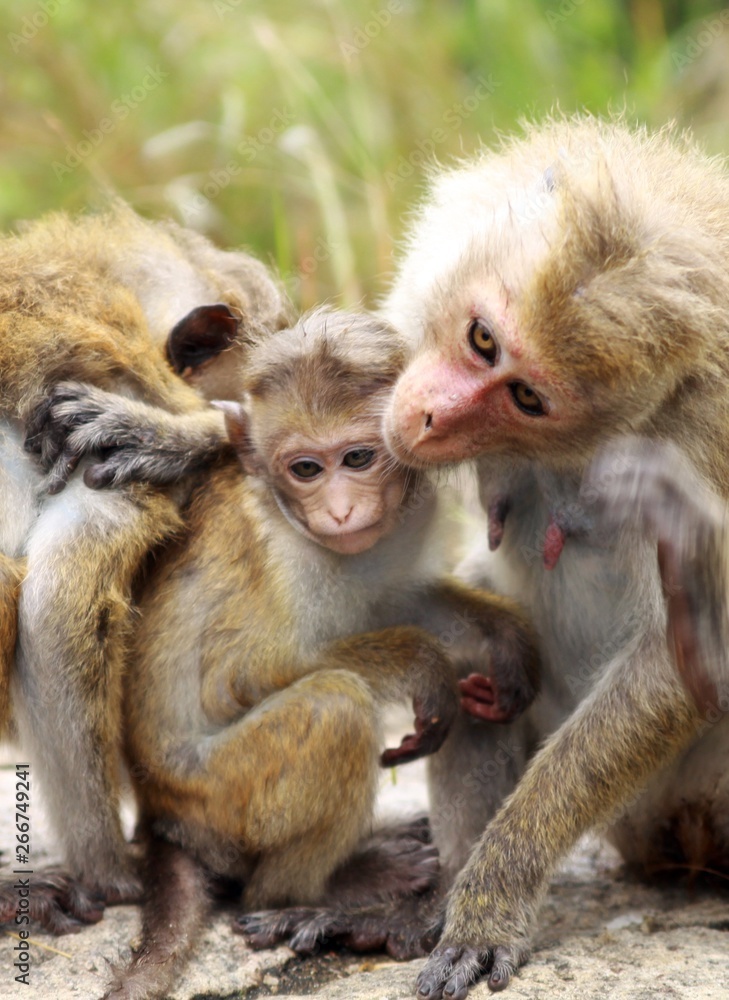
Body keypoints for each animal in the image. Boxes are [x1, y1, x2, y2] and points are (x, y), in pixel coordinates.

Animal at [96, 308, 536, 996]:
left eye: (357, 458)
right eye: (305, 469)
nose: (341, 510)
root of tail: (164, 818)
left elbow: (398, 597)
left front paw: (505, 637)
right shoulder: (277, 559)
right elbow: (240, 677)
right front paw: (422, 663)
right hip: (218, 798)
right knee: (334, 708)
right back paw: (320, 888)